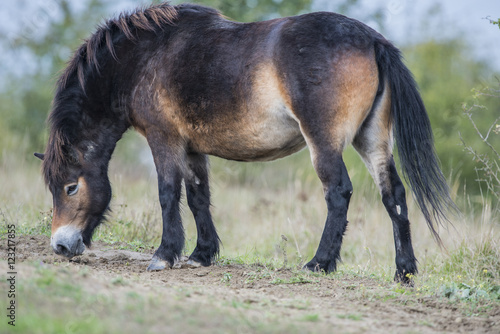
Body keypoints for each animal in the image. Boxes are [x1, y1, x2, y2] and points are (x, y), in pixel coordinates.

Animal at [34, 2, 458, 284]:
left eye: (70, 187)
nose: (60, 245)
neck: (144, 57)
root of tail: (371, 39)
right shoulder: (193, 147)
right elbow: (198, 196)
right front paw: (202, 254)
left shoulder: (164, 139)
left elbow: (168, 193)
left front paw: (164, 255)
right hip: (371, 140)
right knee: (394, 195)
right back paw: (404, 272)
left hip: (325, 142)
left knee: (339, 191)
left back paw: (319, 263)